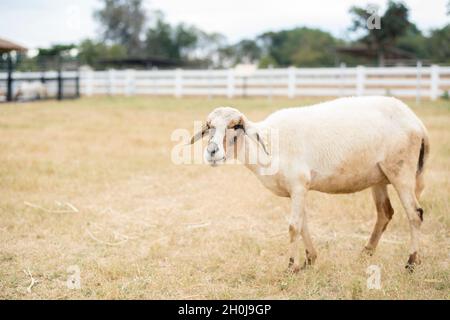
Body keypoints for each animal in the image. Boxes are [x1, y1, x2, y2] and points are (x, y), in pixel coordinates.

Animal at [190, 95, 428, 272]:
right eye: (209, 126)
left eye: (237, 126)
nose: (212, 152)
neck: (268, 144)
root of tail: (416, 121)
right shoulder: (297, 189)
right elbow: (303, 224)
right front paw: (309, 260)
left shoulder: (298, 185)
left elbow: (293, 226)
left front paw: (291, 267)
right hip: (379, 177)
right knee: (385, 213)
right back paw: (365, 253)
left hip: (401, 171)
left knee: (414, 214)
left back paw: (411, 262)